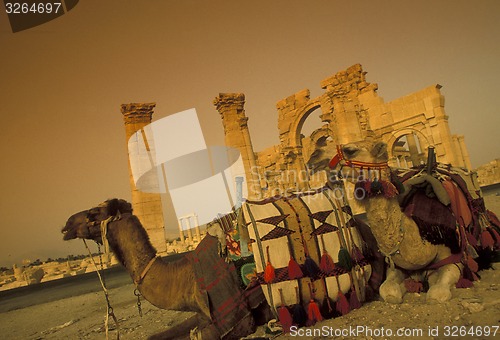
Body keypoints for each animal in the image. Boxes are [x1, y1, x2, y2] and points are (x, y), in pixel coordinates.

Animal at [61, 199, 266, 340]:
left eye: (94, 212)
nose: (67, 225)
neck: (186, 278)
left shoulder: (235, 318)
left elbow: (200, 335)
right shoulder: (202, 315)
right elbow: (157, 335)